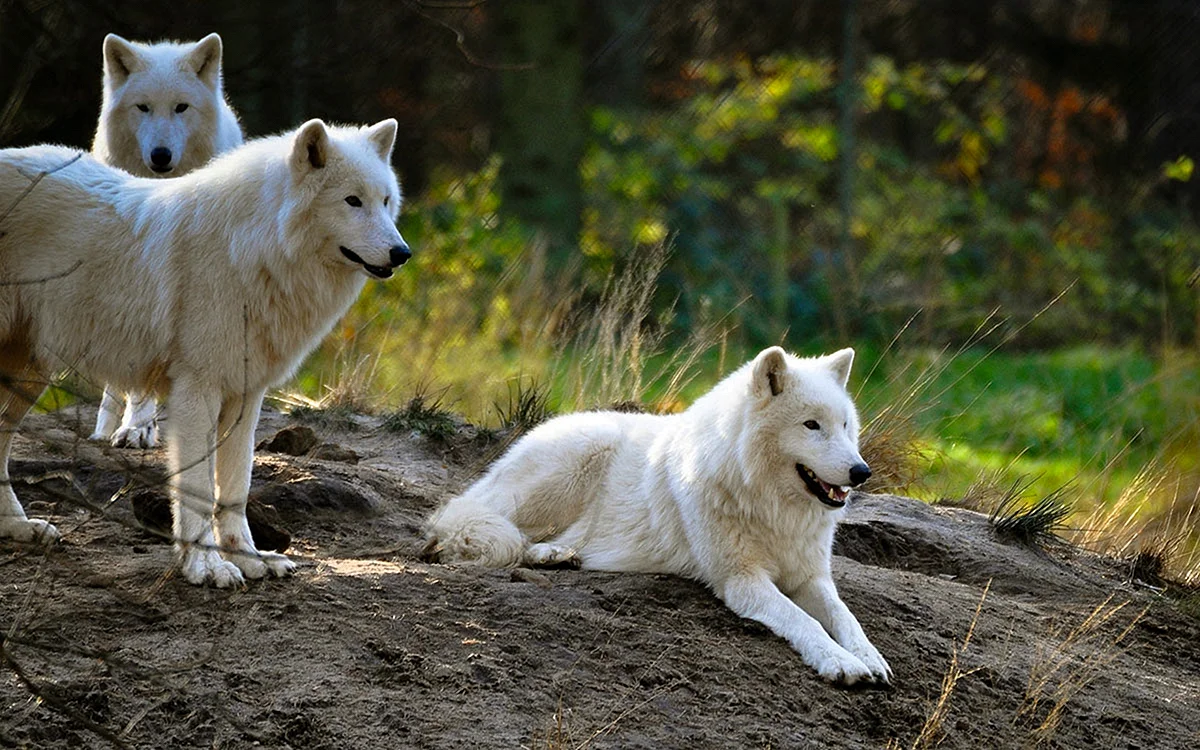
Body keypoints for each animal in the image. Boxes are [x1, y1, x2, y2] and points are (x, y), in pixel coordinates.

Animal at [0, 118, 410, 585]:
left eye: (385, 201)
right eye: (352, 201)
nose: (402, 253)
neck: (252, 250)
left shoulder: (246, 396)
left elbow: (234, 489)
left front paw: (249, 557)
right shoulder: (197, 391)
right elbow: (196, 489)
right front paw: (204, 567)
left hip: (31, 373)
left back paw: (17, 527)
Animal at [429, 345, 892, 686]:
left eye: (845, 426)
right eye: (811, 425)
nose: (861, 472)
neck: (770, 505)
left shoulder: (811, 577)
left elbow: (845, 617)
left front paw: (870, 657)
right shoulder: (741, 580)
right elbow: (805, 621)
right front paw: (841, 663)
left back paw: (557, 555)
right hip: (572, 466)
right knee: (480, 529)